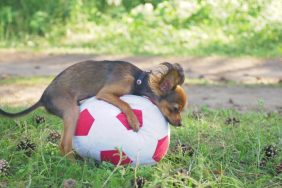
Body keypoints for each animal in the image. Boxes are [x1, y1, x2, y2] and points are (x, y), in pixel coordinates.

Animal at [0, 59, 187, 159]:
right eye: (175, 109)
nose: (180, 124)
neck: (138, 80)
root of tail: (42, 99)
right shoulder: (105, 93)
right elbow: (125, 103)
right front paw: (133, 120)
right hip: (71, 112)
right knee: (64, 145)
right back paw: (74, 166)